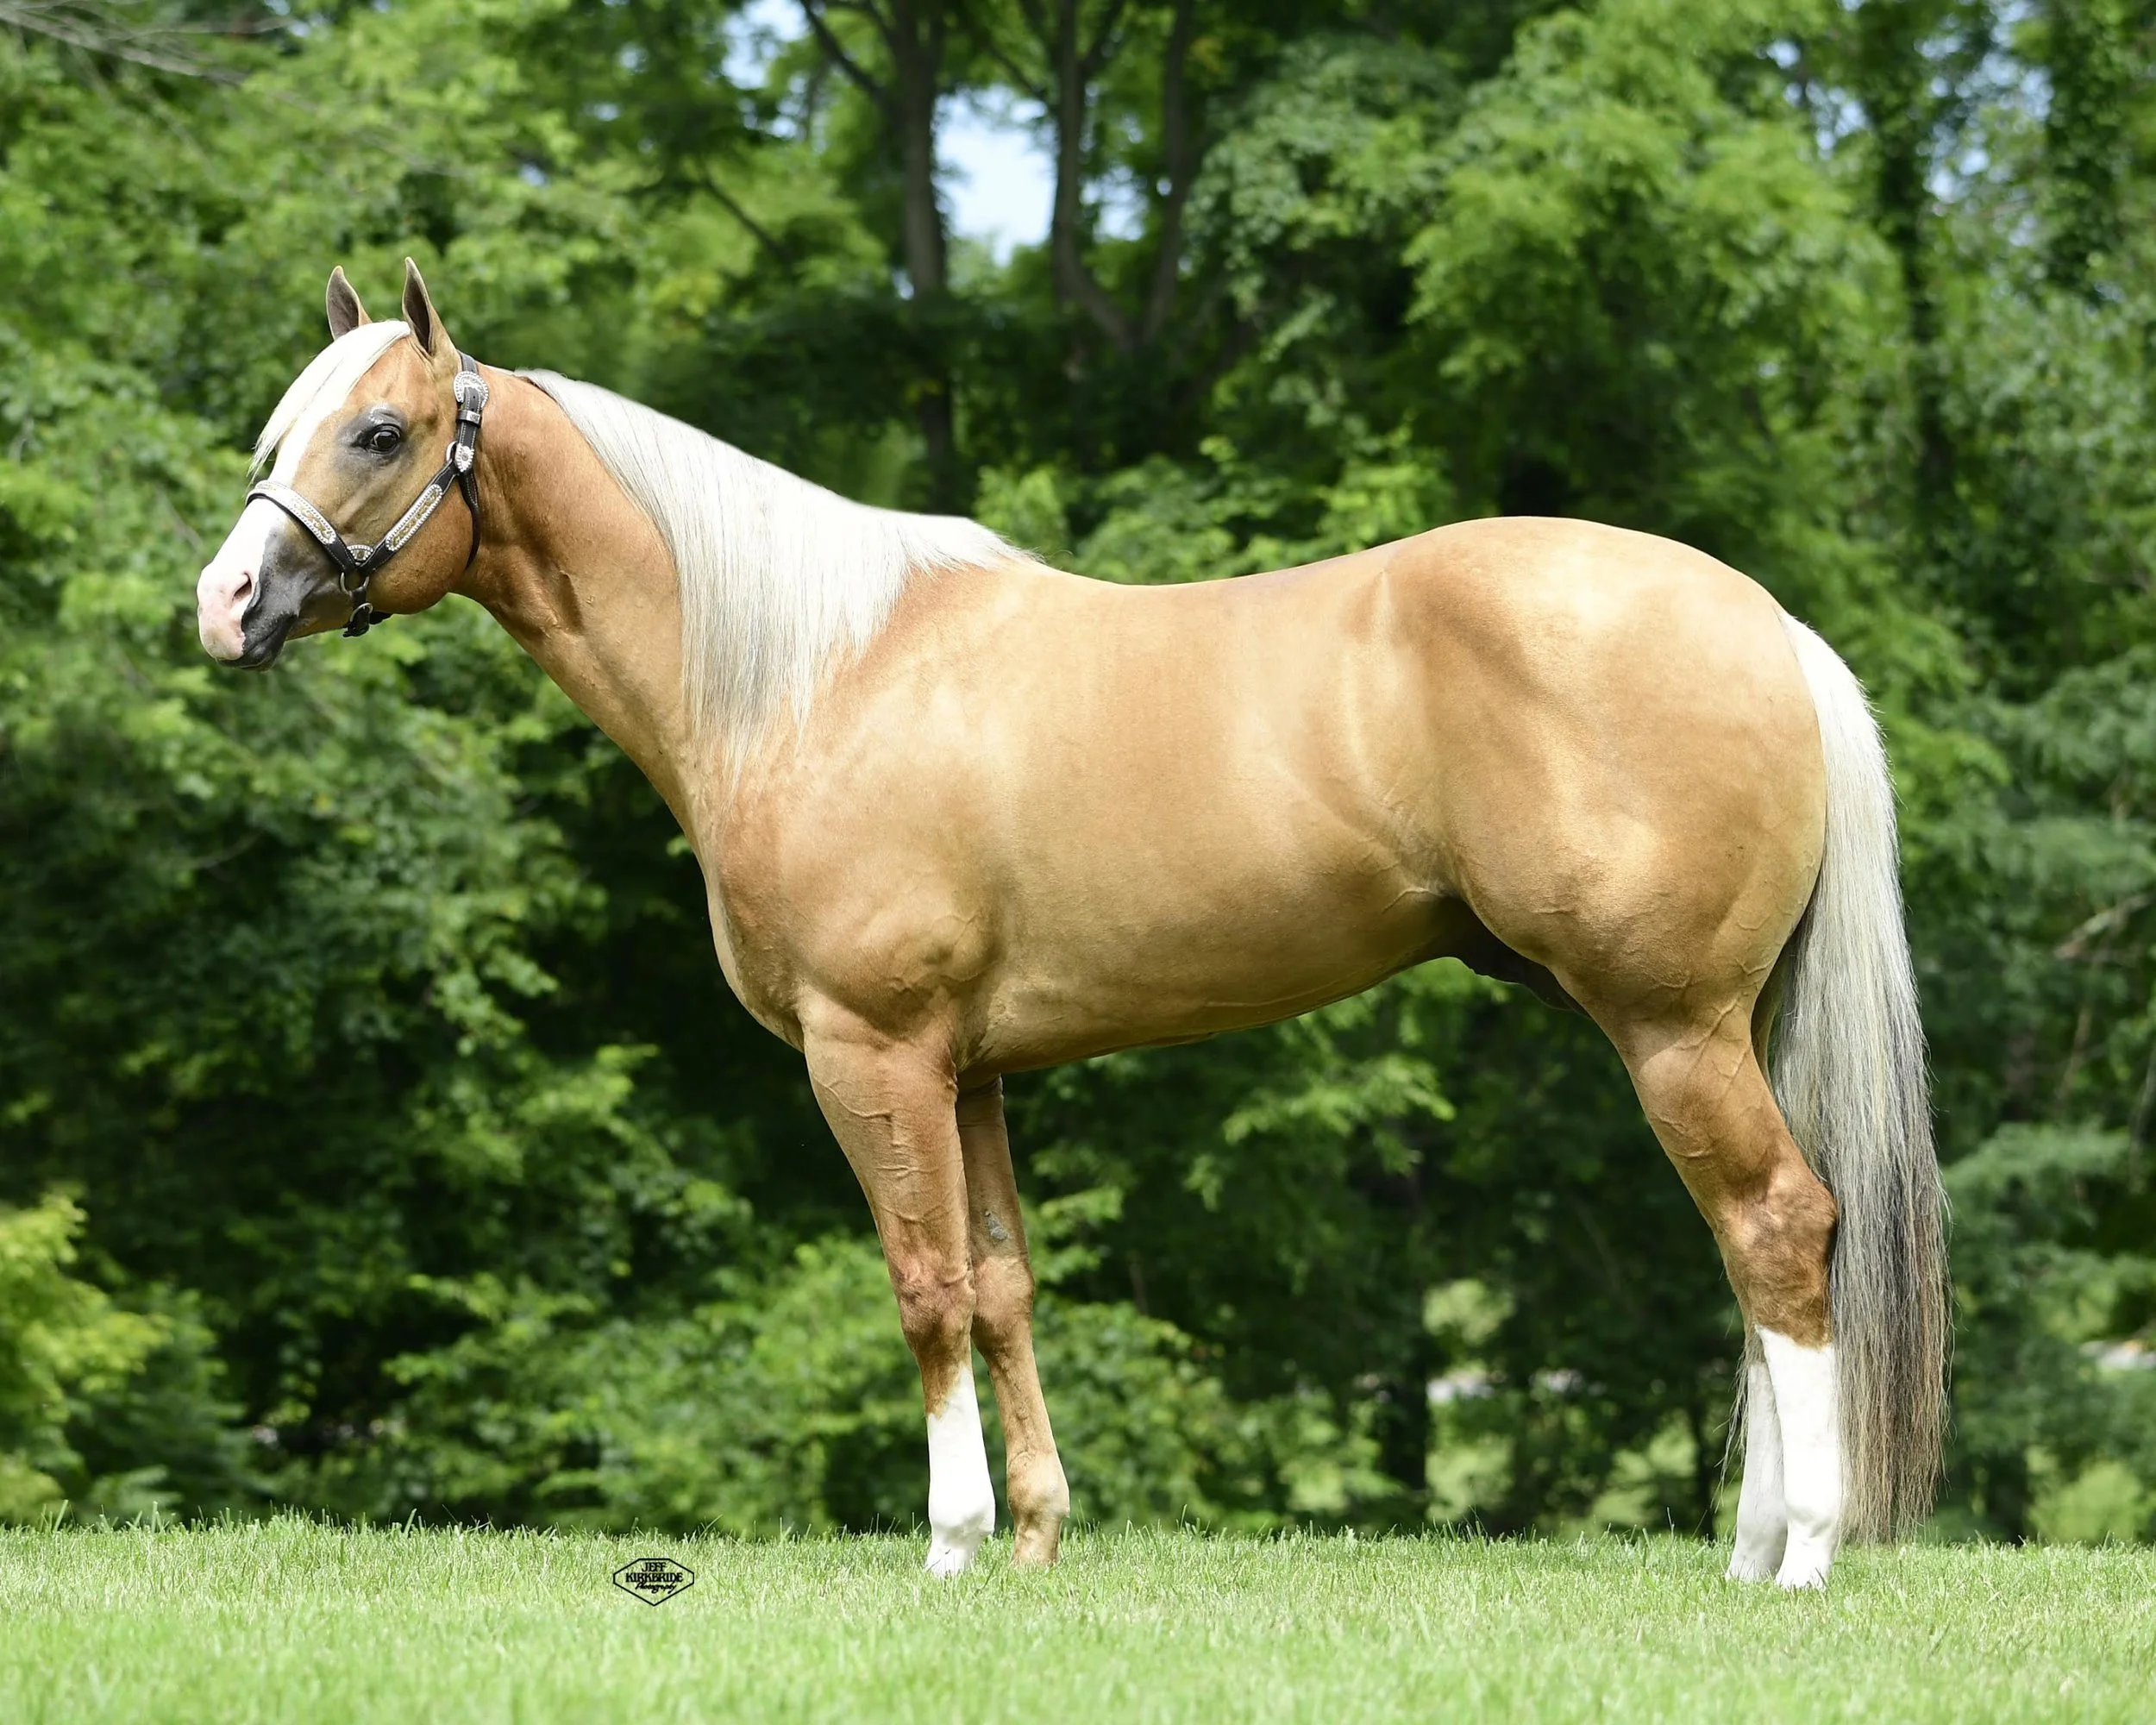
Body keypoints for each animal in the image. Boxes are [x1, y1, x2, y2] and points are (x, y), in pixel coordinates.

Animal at [196, 261, 1947, 1587]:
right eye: (283, 426)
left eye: (378, 429)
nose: (225, 605)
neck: (806, 679)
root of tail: (1765, 624)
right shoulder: (969, 1072)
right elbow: (1004, 1285)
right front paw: (1036, 1543)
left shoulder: (873, 1055)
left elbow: (924, 1290)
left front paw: (953, 1546)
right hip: (1712, 1029)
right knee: (1749, 1249)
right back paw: (1752, 1550)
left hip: (1668, 1025)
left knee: (1776, 1228)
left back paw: (1799, 1558)